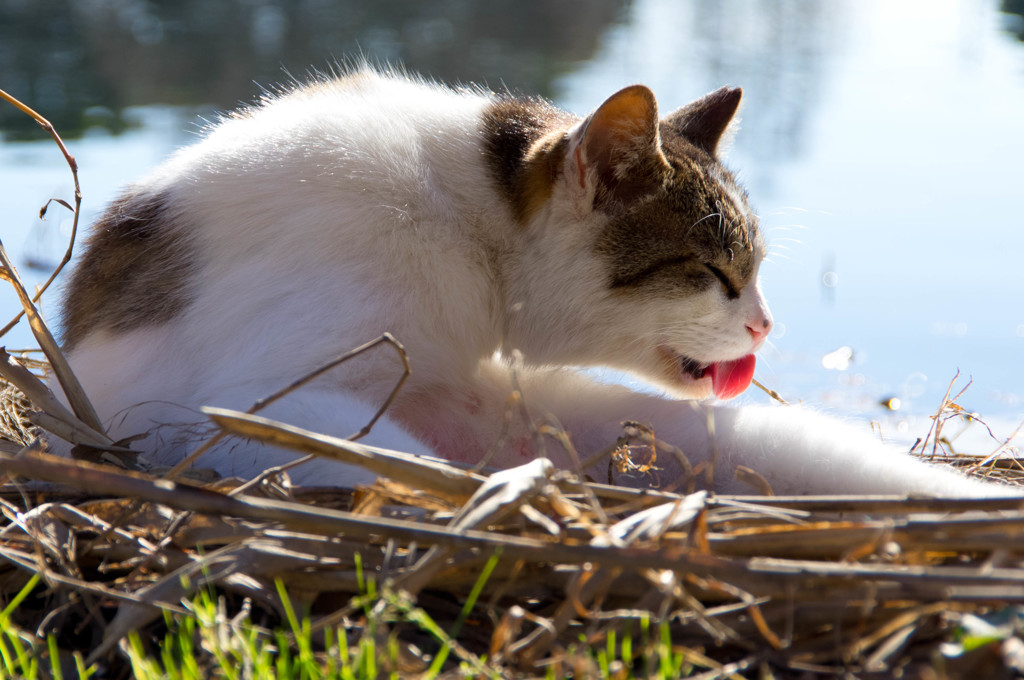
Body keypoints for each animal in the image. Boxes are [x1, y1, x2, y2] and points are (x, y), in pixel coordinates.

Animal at [51, 66, 1011, 497]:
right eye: (712, 272)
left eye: (755, 271)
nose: (766, 328)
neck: (465, 227)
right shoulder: (253, 403)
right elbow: (415, 469)